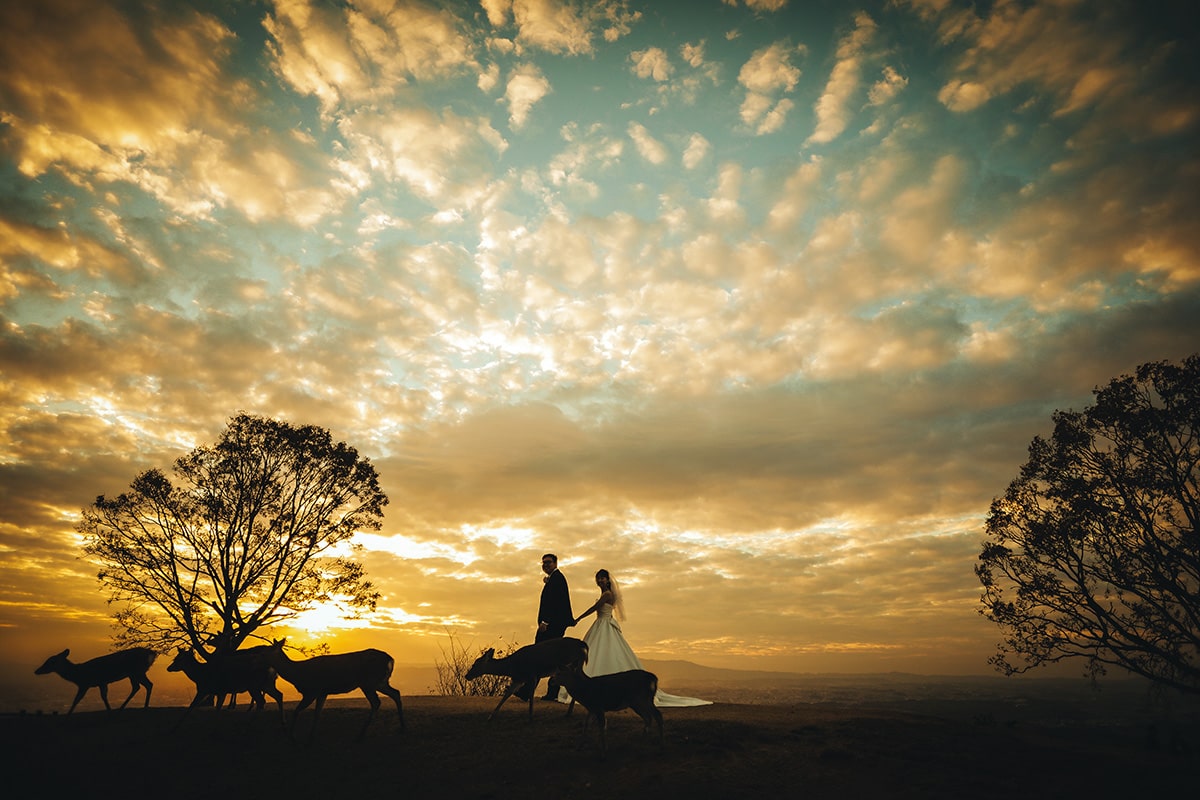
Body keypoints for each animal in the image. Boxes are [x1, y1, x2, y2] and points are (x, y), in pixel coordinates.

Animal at [266, 638, 405, 743]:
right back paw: (402, 728)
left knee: (377, 702)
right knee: (396, 693)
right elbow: (317, 713)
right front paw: (311, 737)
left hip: (369, 682)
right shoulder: (322, 692)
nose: (258, 655)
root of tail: (391, 660)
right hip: (380, 682)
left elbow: (296, 711)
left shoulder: (312, 690)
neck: (297, 674)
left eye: (264, 651)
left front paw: (292, 737)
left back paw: (360, 735)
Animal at [460, 633, 588, 724]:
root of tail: (582, 644)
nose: (467, 676)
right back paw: (570, 712)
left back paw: (570, 712)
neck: (512, 667)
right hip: (576, 664)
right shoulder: (519, 679)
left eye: (475, 664)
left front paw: (530, 718)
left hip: (572, 664)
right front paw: (490, 717)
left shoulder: (532, 675)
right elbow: (507, 694)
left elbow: (530, 695)